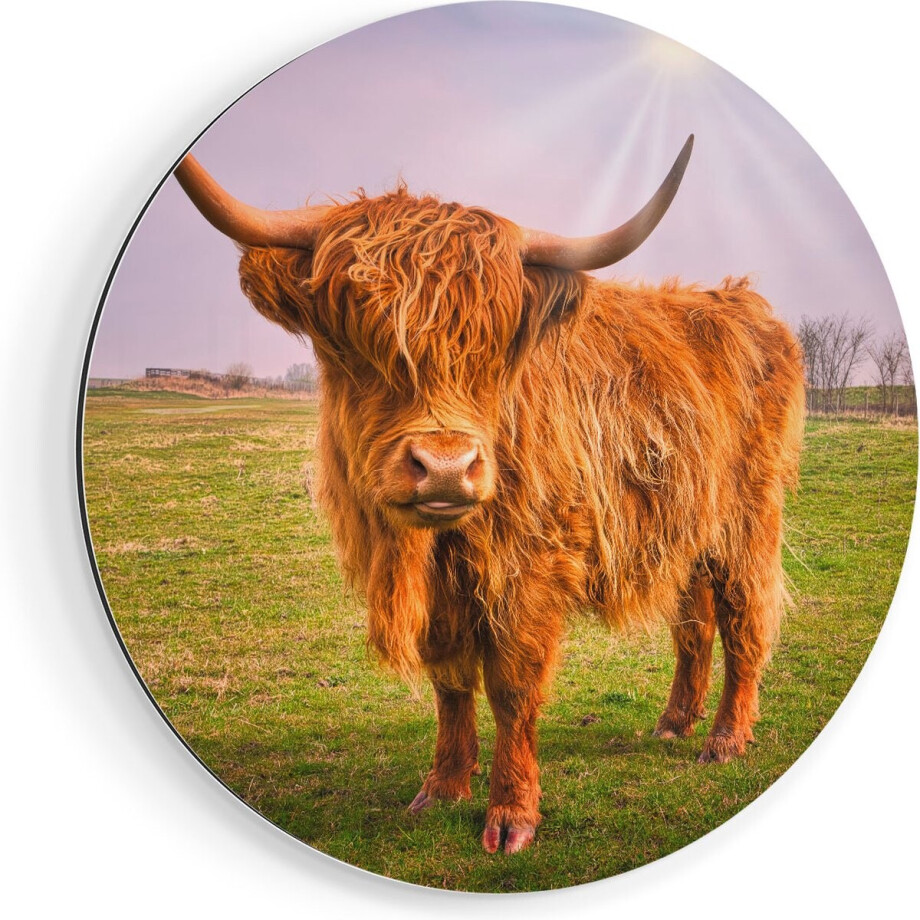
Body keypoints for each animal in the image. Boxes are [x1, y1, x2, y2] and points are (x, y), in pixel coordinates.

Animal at [174, 136, 805, 855]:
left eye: (494, 345)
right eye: (355, 336)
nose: (446, 468)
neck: (440, 546)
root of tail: (738, 302)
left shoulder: (532, 567)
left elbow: (511, 687)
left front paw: (511, 813)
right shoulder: (444, 591)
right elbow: (449, 681)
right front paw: (443, 786)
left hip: (747, 516)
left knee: (744, 616)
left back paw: (725, 739)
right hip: (687, 520)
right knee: (694, 620)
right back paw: (675, 720)